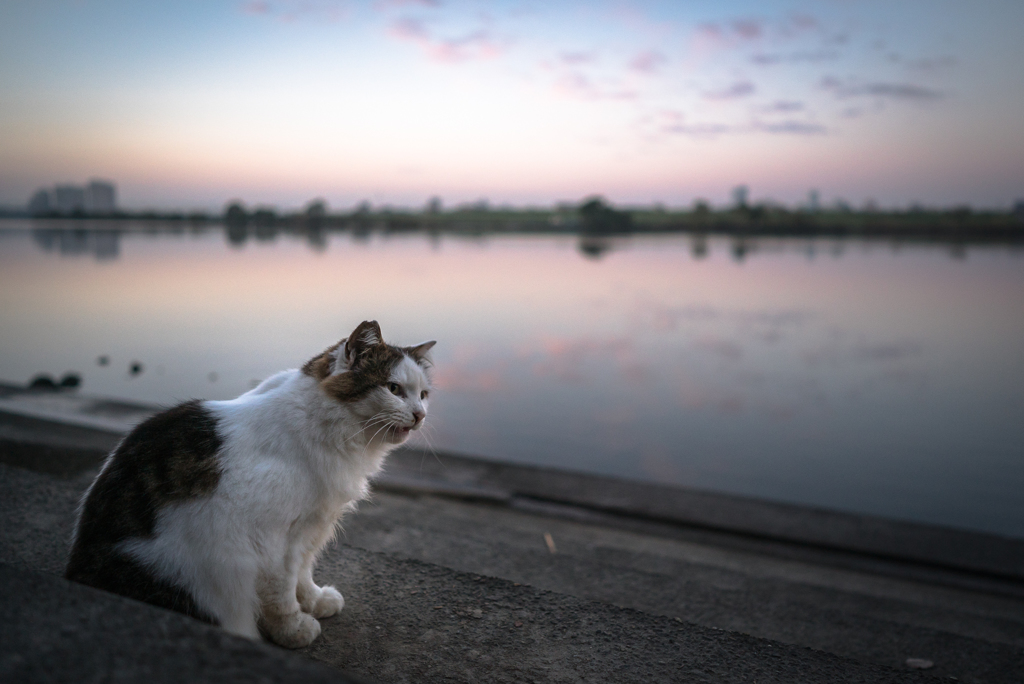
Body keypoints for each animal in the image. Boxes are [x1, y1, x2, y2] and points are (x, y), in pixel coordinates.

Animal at [64, 321, 432, 647]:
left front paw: (314, 602)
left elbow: (303, 573)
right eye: (394, 389)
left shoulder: (309, 528)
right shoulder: (272, 539)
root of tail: (78, 571)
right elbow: (281, 594)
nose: (420, 415)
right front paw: (293, 631)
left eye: (424, 394)